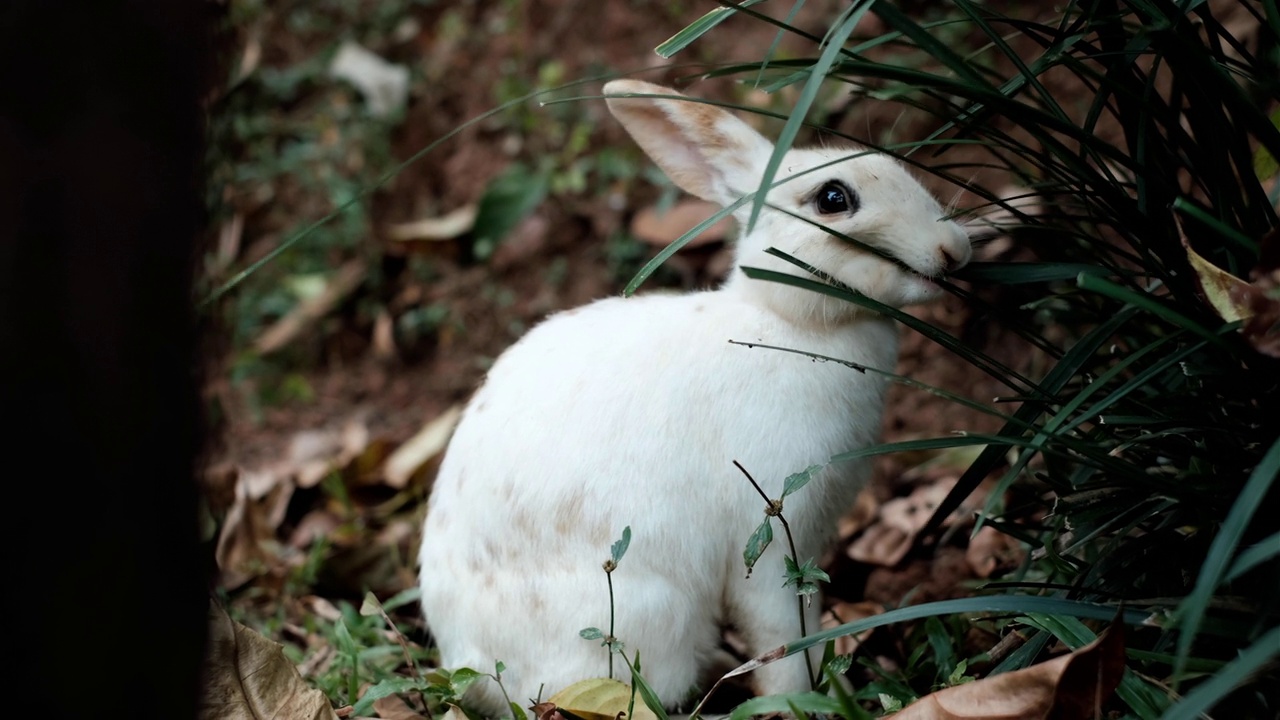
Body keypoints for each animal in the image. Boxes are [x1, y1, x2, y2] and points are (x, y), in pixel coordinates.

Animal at [419, 79, 967, 712]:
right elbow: (784, 633)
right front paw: (804, 701)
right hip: (654, 618)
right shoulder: (770, 536)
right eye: (833, 198)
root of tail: (471, 663)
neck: (788, 323)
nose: (955, 249)